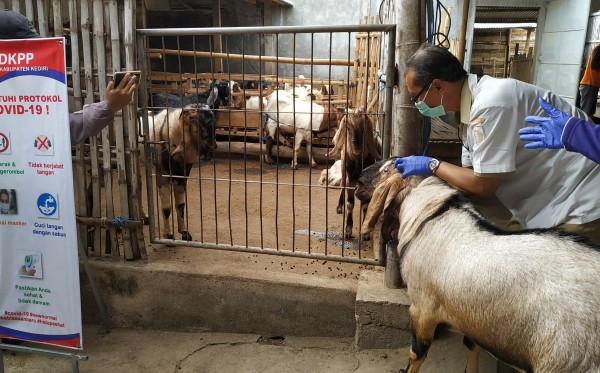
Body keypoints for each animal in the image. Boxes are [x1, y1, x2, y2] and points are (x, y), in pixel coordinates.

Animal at [358, 158, 596, 372]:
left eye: (387, 168)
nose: (358, 181)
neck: (429, 215)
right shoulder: (470, 318)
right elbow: (470, 347)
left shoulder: (422, 307)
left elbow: (417, 353)